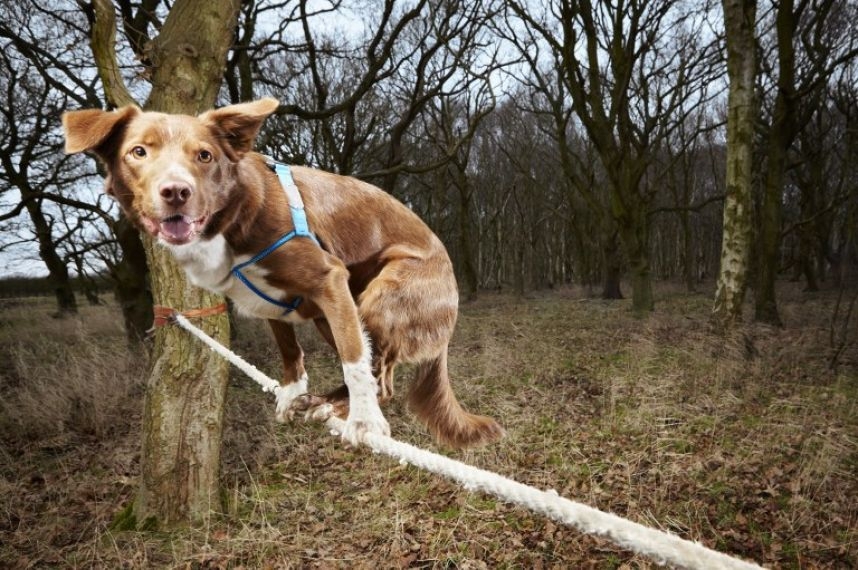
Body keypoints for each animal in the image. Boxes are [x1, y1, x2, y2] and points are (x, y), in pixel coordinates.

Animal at [63, 97, 504, 446]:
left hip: (381, 296)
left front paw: (364, 422)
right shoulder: (272, 304)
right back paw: (326, 403)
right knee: (376, 370)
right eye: (138, 152)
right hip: (339, 313)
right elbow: (290, 351)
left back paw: (342, 410)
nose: (175, 192)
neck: (233, 216)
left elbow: (354, 359)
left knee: (380, 376)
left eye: (204, 155)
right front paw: (294, 394)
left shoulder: (329, 278)